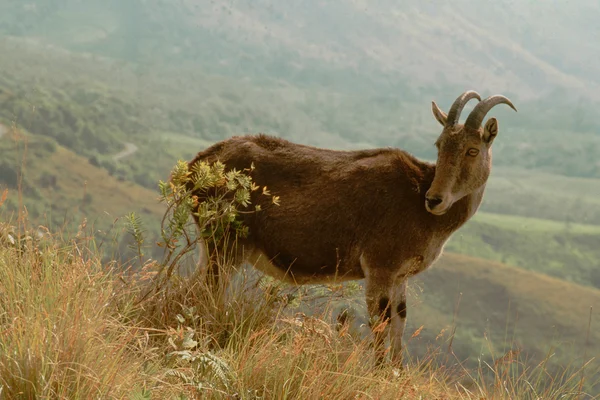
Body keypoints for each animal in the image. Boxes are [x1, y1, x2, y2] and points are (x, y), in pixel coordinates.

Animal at [184, 90, 516, 366]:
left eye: (472, 150)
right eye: (439, 145)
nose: (435, 199)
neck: (418, 203)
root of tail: (196, 166)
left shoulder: (399, 277)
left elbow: (400, 322)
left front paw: (395, 372)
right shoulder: (380, 267)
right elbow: (381, 324)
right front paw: (377, 373)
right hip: (224, 245)